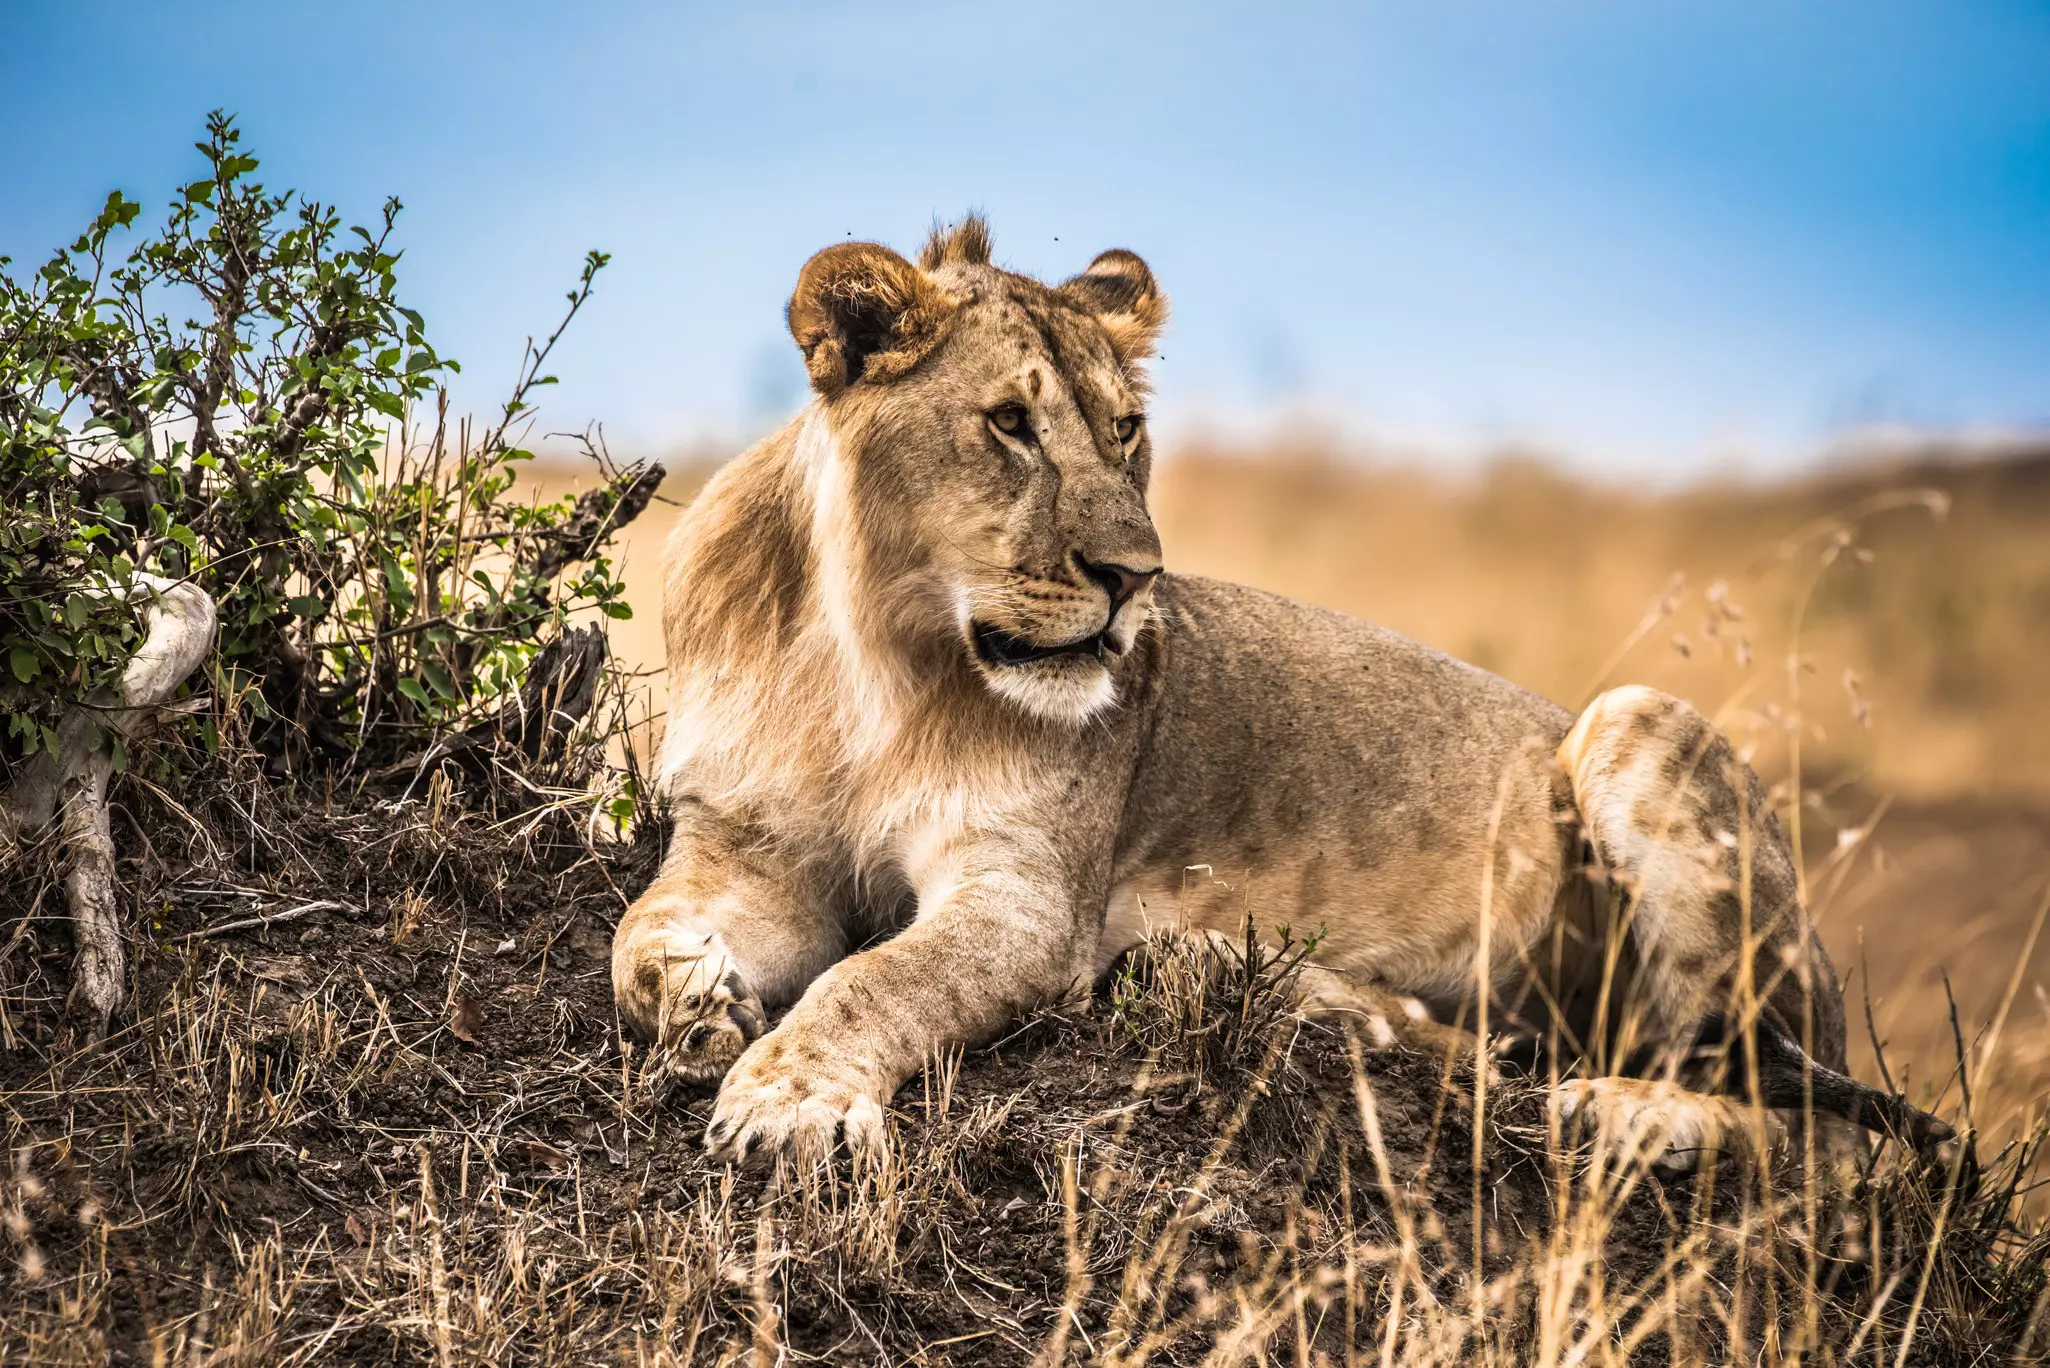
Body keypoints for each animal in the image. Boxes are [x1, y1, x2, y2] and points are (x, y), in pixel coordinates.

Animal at [612, 215, 1949, 1169]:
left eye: (1124, 431)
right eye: (1008, 425)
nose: (1133, 578)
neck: (876, 664)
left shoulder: (1027, 902)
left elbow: (873, 980)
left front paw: (788, 1100)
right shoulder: (748, 848)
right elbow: (639, 936)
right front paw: (701, 1004)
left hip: (1640, 729)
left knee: (1811, 1136)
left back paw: (1624, 1114)